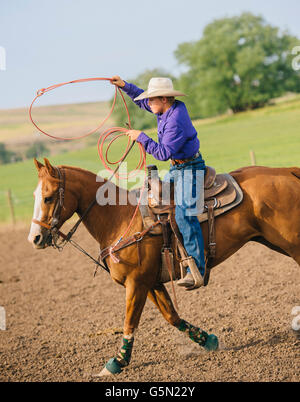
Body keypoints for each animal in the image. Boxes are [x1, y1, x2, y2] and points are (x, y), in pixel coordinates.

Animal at [28, 158, 300, 376]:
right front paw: (209, 341)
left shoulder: (136, 283)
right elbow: (172, 316)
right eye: (35, 196)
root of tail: (288, 171)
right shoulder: (151, 283)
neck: (120, 218)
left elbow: (129, 322)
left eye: (48, 197)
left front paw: (116, 362)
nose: (35, 238)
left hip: (292, 243)